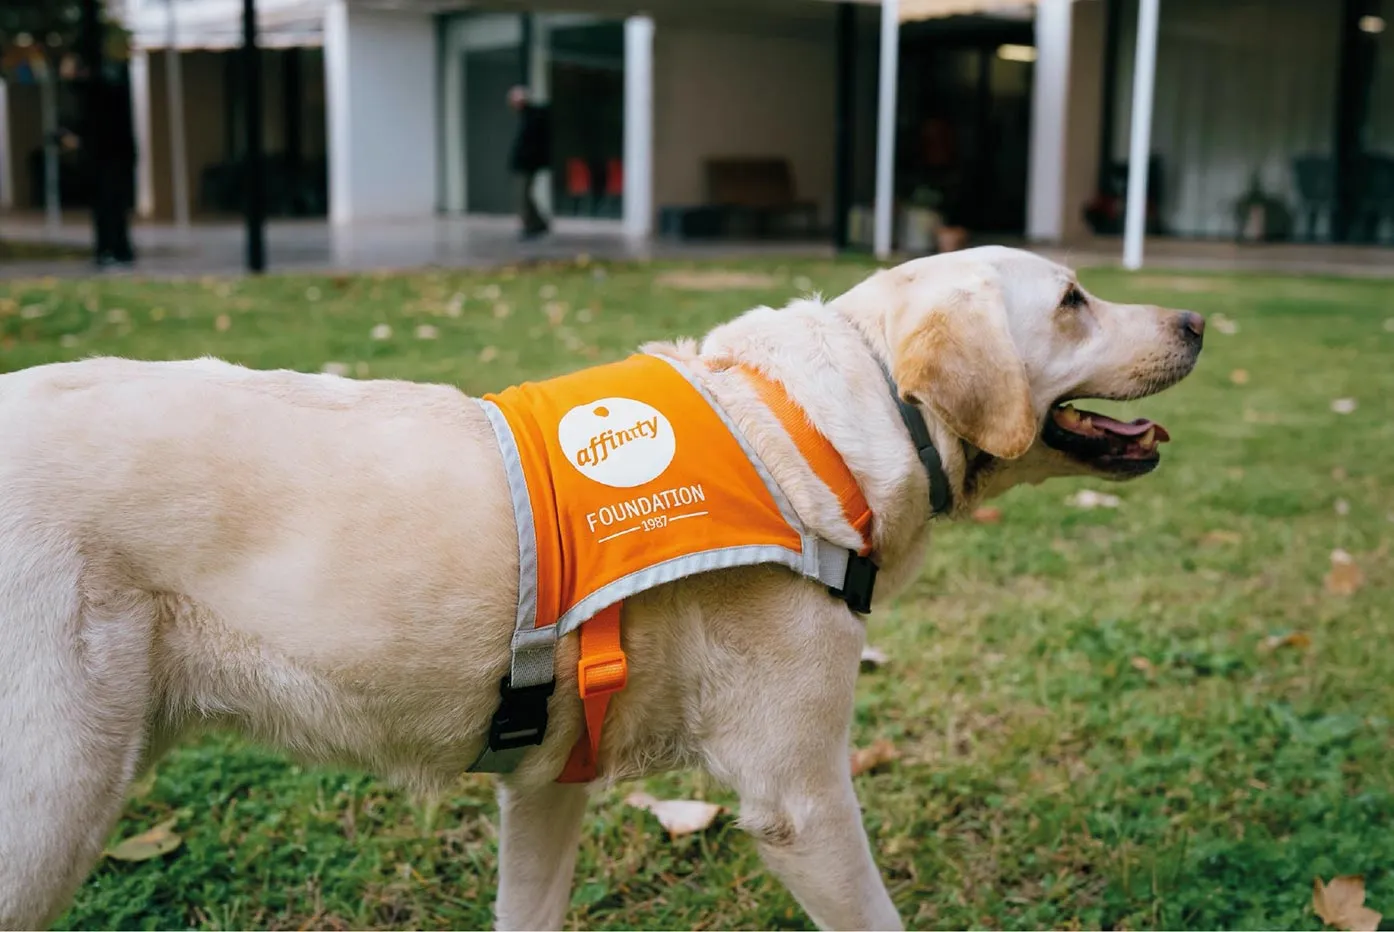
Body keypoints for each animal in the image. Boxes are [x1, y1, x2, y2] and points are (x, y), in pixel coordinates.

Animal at [0, 243, 1198, 925]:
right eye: (1074, 301)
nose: (1196, 320)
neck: (817, 425)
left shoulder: (543, 787)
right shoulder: (801, 801)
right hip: (50, 798)